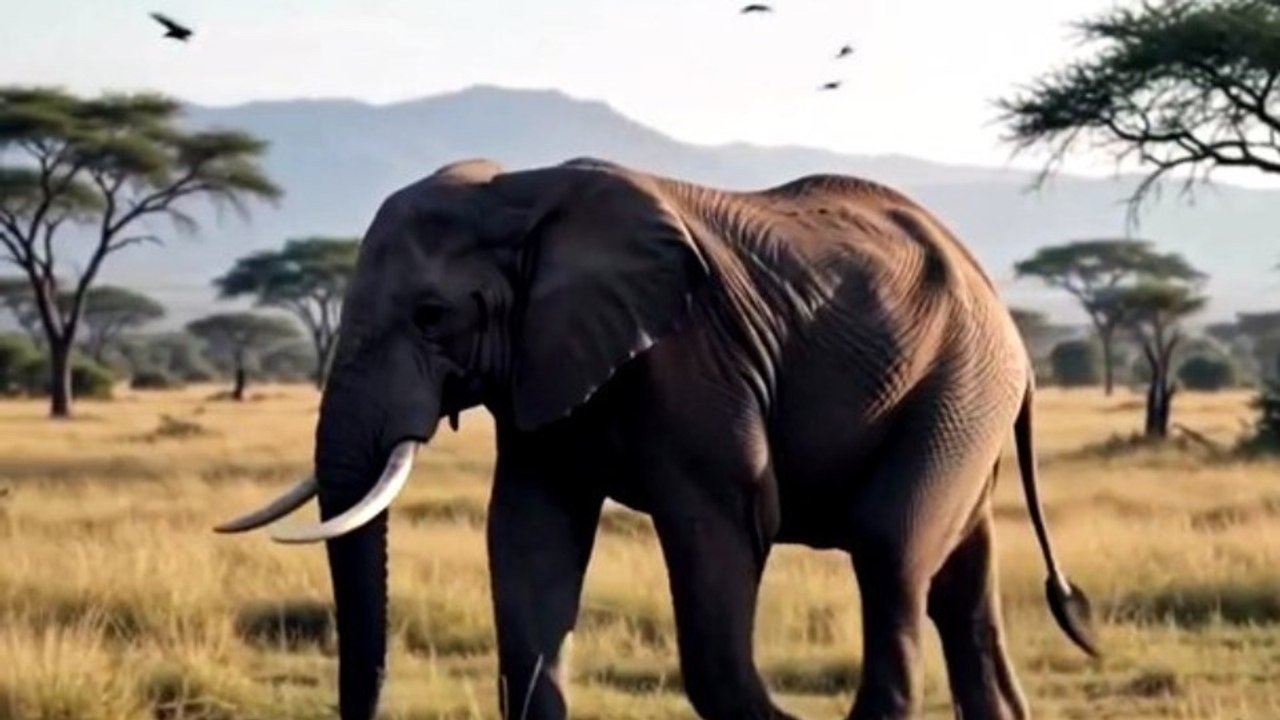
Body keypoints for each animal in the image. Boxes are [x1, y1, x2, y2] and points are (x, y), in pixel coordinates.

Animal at [214, 157, 1098, 720]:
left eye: (432, 316)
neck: (520, 195)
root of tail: (995, 299)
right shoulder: (544, 367)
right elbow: (530, 539)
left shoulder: (695, 361)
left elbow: (725, 537)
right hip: (965, 402)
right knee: (961, 589)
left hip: (958, 388)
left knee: (889, 552)